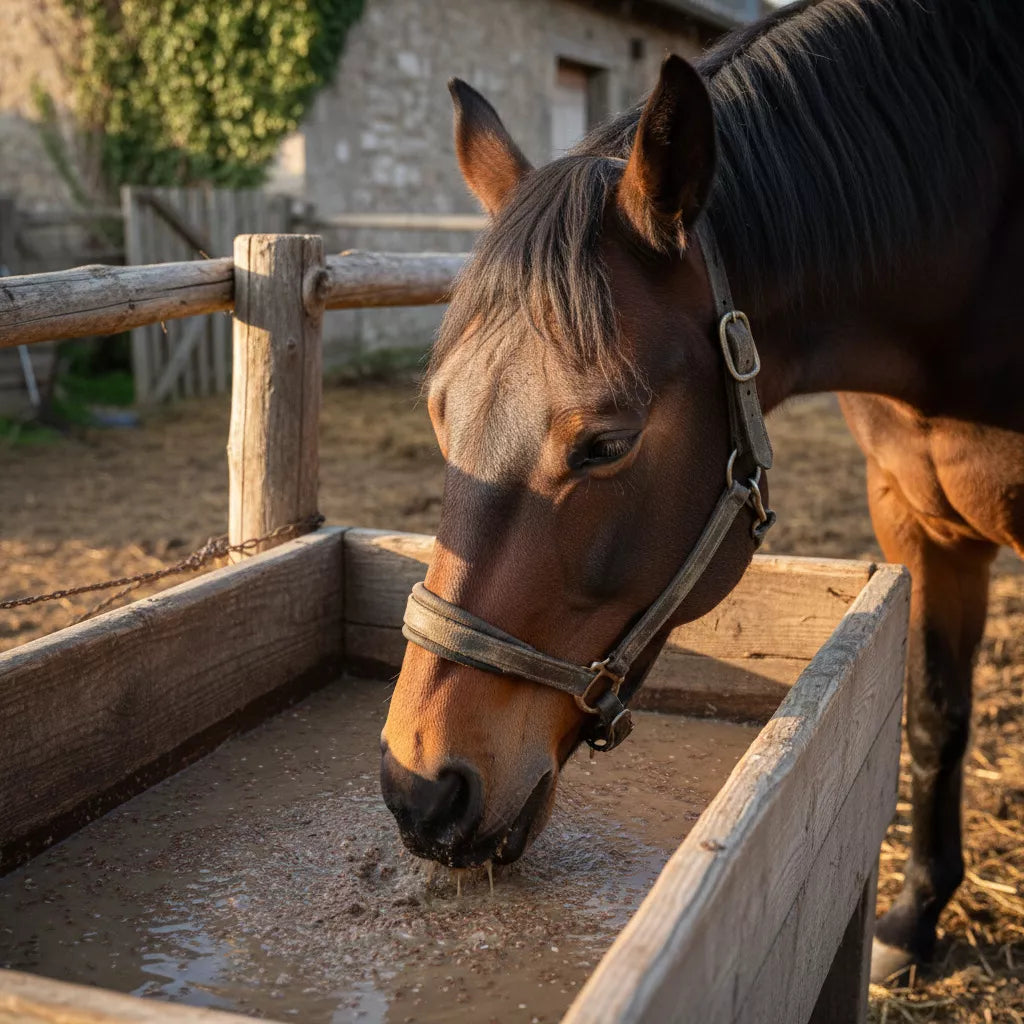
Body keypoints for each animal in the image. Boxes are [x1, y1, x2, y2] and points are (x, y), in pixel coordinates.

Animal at [379, 0, 1024, 981]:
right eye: (439, 414)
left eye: (605, 444)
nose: (421, 787)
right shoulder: (917, 520)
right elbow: (935, 716)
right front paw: (915, 916)